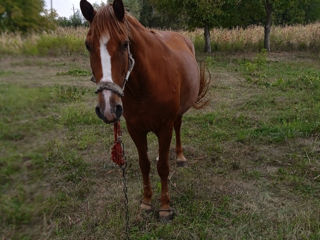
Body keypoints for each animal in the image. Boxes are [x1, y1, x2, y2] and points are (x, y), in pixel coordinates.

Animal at [80, 0, 208, 219]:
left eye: (124, 44)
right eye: (88, 45)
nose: (108, 108)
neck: (146, 84)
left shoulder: (164, 127)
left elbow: (163, 167)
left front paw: (164, 207)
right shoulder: (135, 129)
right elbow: (144, 164)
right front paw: (146, 202)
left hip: (177, 116)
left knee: (178, 127)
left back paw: (180, 157)